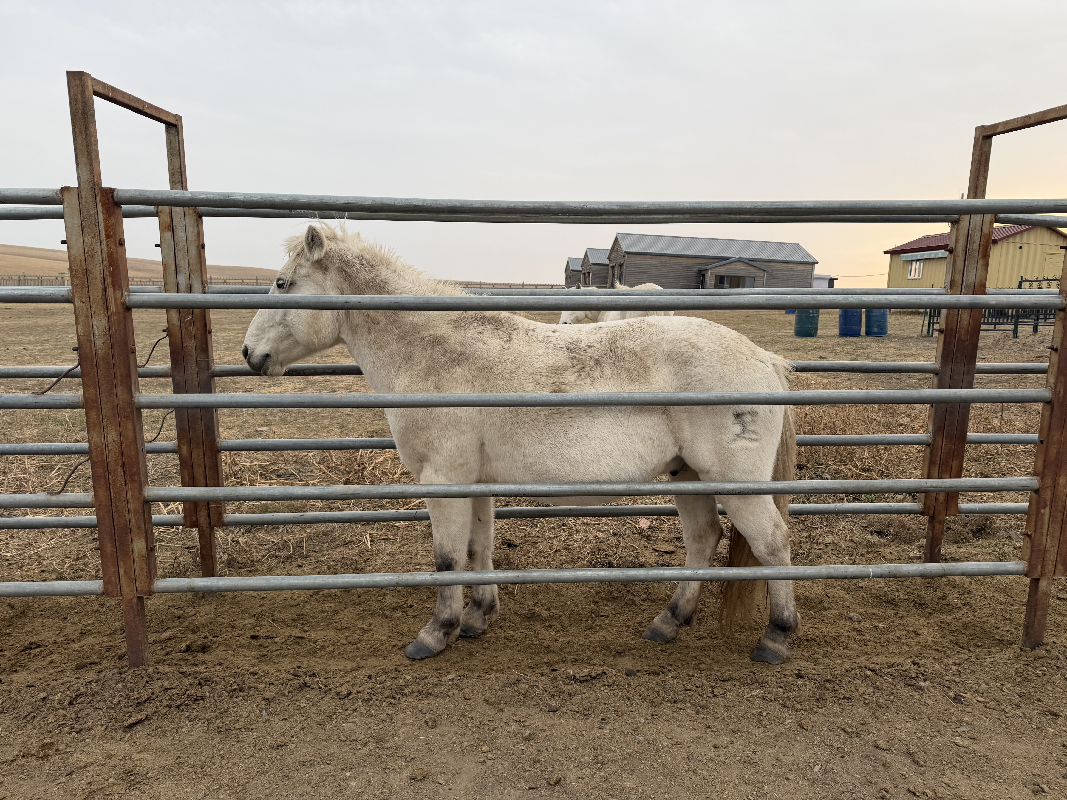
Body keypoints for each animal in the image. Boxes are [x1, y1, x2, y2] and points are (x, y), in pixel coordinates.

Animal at [242, 225, 799, 664]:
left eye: (282, 283)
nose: (249, 353)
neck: (434, 353)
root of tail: (763, 357)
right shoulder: (474, 482)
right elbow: (478, 547)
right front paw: (477, 617)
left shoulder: (443, 480)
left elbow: (447, 558)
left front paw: (436, 633)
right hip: (689, 475)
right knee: (703, 539)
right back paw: (669, 621)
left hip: (734, 482)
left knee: (772, 543)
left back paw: (776, 637)